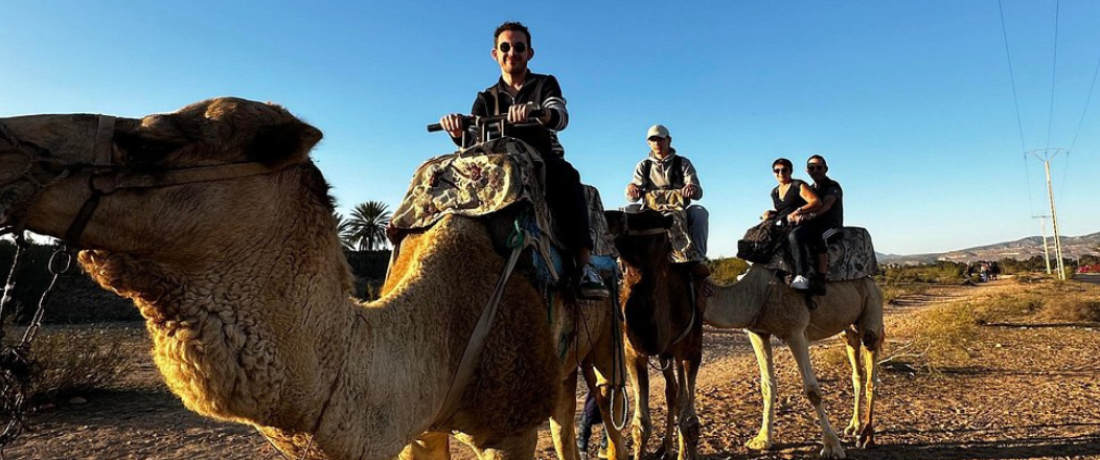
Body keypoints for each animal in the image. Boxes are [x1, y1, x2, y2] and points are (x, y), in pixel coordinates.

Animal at [0, 97, 624, 459]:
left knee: (615, 418)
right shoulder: (420, 427)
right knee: (565, 420)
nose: (7, 146)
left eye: (149, 141)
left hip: (606, 342)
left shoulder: (508, 428)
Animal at [602, 210, 704, 459]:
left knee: (680, 397)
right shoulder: (633, 354)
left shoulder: (692, 352)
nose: (608, 215)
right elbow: (641, 425)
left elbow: (691, 423)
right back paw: (666, 448)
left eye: (647, 218)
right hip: (666, 355)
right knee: (673, 393)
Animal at [704, 264, 884, 457]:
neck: (754, 294)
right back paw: (854, 426)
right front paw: (761, 440)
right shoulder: (758, 332)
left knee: (871, 361)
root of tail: (872, 281)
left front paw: (832, 446)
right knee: (856, 367)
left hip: (872, 304)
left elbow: (812, 391)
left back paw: (867, 438)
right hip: (848, 326)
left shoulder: (795, 331)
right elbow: (767, 386)